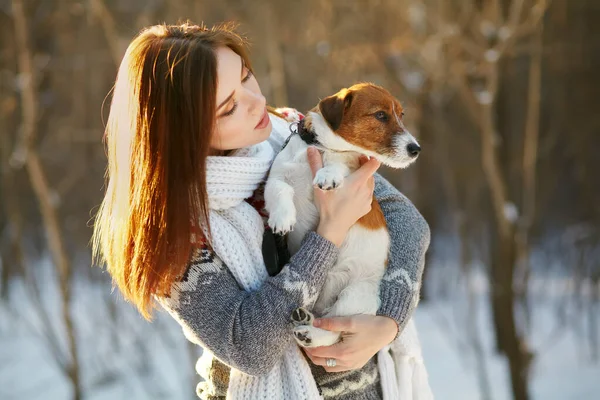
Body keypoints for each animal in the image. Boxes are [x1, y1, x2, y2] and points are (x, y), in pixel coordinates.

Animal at [264, 82, 420, 346]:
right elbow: (280, 188)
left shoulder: (350, 170)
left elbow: (338, 165)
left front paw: (328, 174)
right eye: (381, 115)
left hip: (354, 295)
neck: (320, 147)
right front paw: (282, 218)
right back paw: (305, 320)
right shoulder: (276, 175)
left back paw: (310, 334)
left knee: (333, 329)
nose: (416, 149)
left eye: (401, 115)